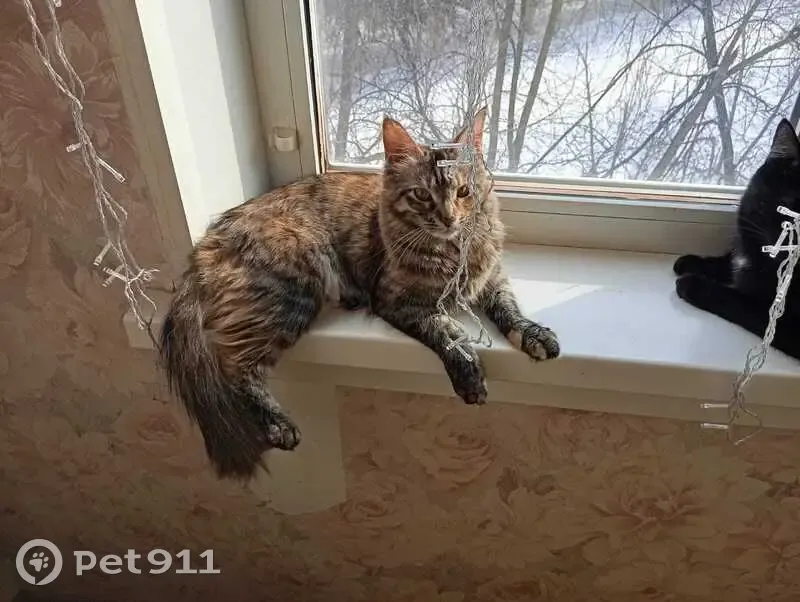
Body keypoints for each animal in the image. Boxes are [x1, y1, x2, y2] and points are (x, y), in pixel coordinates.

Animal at [160, 109, 560, 478]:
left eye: (464, 192)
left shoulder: (492, 278)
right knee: (234, 366)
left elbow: (510, 311)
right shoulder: (398, 301)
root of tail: (205, 246)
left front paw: (534, 335)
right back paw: (278, 425)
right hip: (295, 287)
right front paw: (470, 377)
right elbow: (450, 335)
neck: (453, 250)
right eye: (421, 196)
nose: (449, 219)